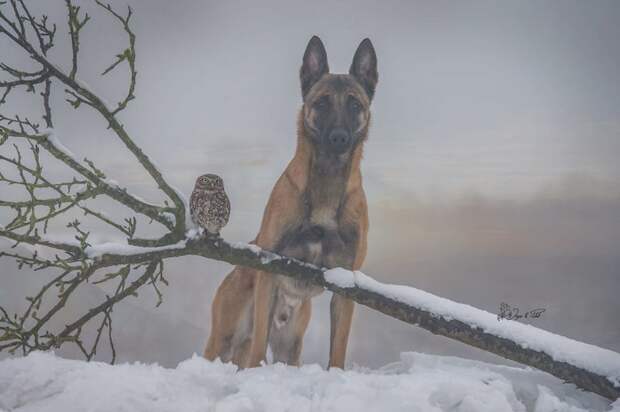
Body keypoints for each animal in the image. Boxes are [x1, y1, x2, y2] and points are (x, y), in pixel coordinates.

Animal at [206, 35, 376, 368]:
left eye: (354, 104)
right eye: (321, 102)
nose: (339, 138)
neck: (326, 183)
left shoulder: (345, 286)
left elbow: (338, 350)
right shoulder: (270, 269)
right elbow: (258, 349)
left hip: (289, 347)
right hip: (224, 338)